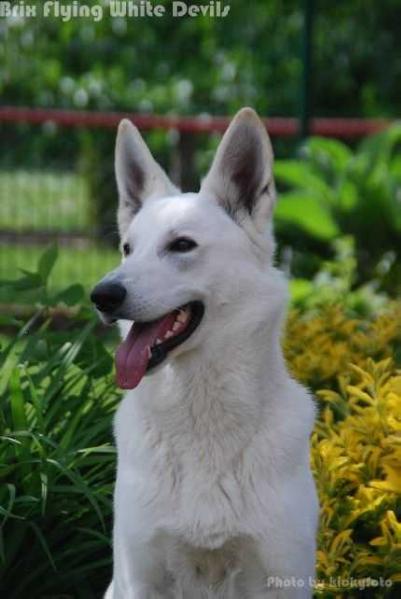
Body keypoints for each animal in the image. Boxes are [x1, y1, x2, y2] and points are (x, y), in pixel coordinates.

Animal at [91, 109, 318, 599]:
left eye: (182, 245)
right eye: (127, 249)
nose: (102, 295)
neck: (201, 416)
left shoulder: (282, 577)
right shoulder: (141, 579)